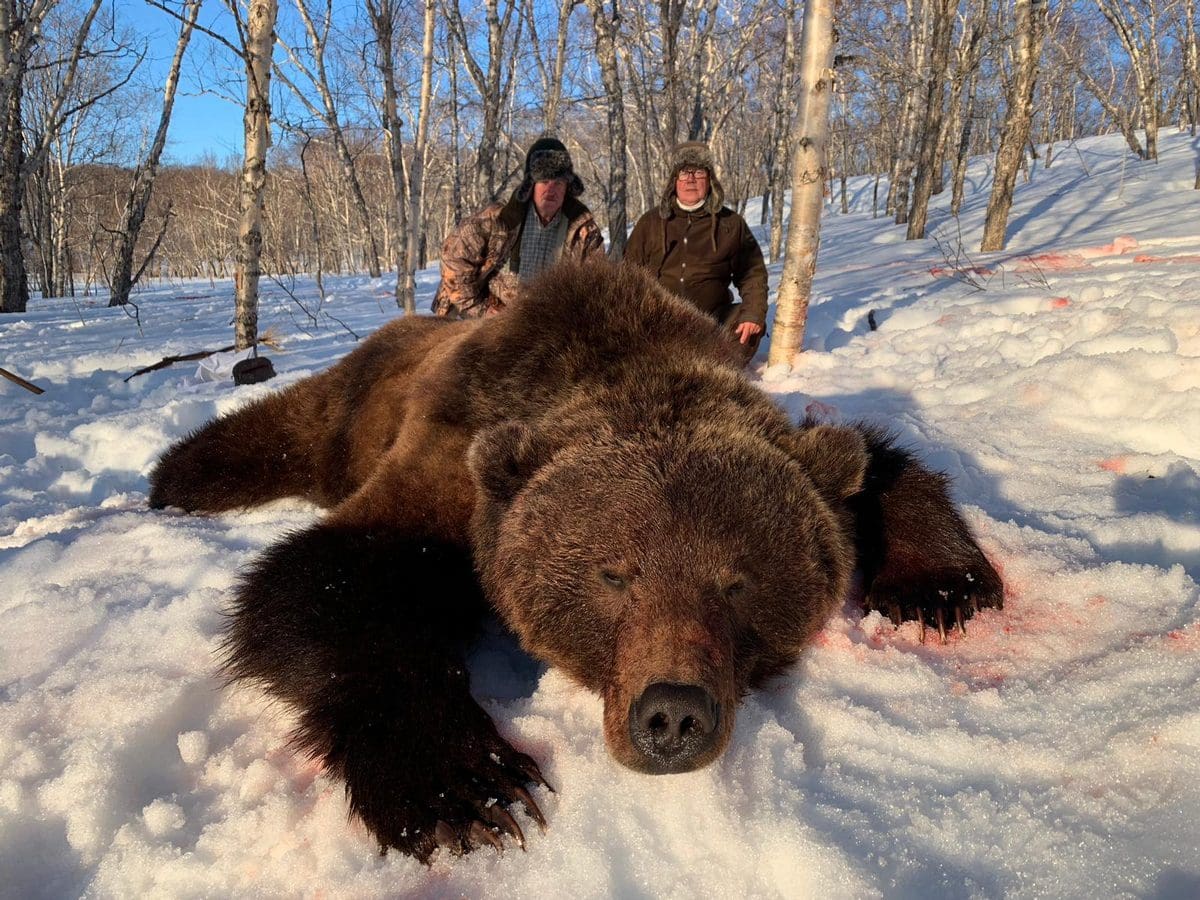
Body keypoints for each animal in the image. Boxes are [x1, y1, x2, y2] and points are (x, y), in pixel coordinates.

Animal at [148, 259, 1003, 863]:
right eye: (613, 573)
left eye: (737, 581)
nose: (672, 713)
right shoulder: (457, 456)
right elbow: (328, 575)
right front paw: (467, 785)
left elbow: (874, 464)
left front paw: (941, 585)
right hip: (354, 406)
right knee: (283, 433)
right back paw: (174, 475)